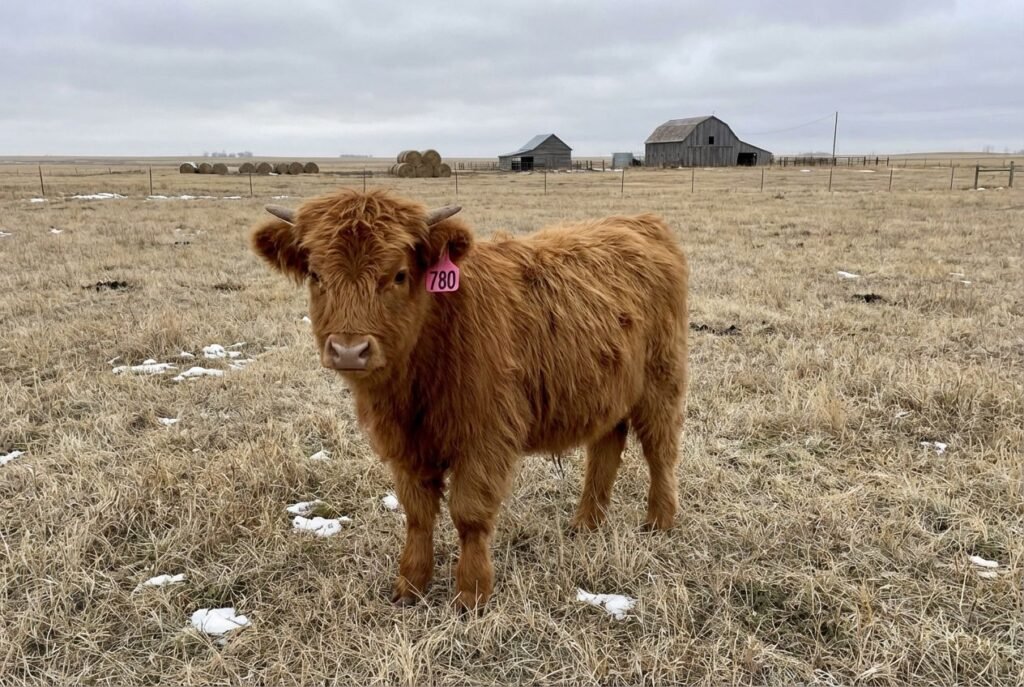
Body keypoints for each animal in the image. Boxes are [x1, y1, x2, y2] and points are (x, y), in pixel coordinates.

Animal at [251, 188, 689, 610]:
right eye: (315, 274)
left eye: (399, 275)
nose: (348, 349)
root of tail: (639, 221)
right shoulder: (405, 443)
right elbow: (418, 514)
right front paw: (410, 584)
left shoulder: (485, 437)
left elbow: (469, 514)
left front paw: (472, 594)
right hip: (608, 390)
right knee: (606, 447)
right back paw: (586, 522)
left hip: (661, 382)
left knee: (660, 451)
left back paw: (659, 521)